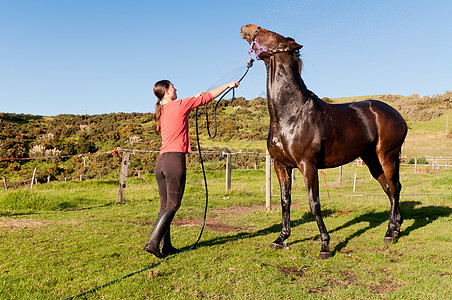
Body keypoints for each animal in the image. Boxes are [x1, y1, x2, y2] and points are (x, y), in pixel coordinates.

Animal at [242, 24, 408, 258]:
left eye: (272, 35)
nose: (247, 28)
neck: (291, 114)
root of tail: (398, 115)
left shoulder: (307, 165)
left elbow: (315, 204)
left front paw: (325, 245)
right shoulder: (281, 165)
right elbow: (285, 201)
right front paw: (281, 239)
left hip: (388, 155)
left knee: (394, 188)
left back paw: (389, 233)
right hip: (371, 159)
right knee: (389, 188)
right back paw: (396, 228)